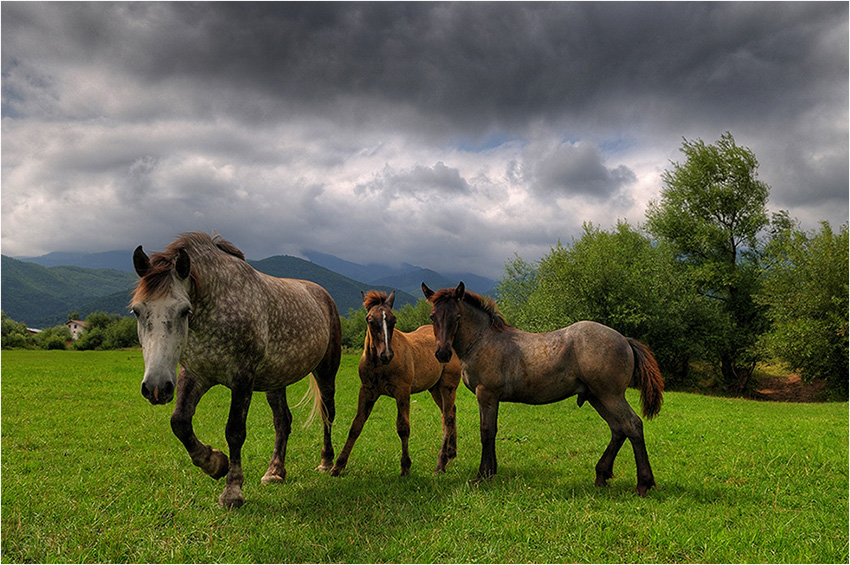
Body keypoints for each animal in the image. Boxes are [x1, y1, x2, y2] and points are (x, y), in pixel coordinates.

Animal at [129, 232, 338, 506]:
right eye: (137, 310)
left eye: (184, 311)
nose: (156, 387)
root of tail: (323, 295)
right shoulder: (195, 374)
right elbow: (180, 422)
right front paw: (215, 463)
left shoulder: (242, 378)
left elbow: (235, 431)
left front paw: (232, 491)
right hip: (276, 381)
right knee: (283, 421)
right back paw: (274, 472)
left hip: (326, 371)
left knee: (327, 414)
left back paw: (327, 462)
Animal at [328, 290, 460, 476]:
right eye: (370, 320)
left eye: (394, 320)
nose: (387, 354)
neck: (379, 365)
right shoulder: (367, 391)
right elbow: (356, 425)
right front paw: (338, 465)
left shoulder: (402, 392)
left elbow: (403, 427)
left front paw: (405, 466)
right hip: (434, 388)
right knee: (449, 413)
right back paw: (450, 454)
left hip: (448, 386)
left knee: (448, 417)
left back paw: (441, 462)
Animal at [420, 280, 664, 494]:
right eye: (433, 316)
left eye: (457, 317)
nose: (442, 353)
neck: (483, 340)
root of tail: (625, 340)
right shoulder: (491, 398)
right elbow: (493, 431)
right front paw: (492, 471)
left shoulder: (486, 394)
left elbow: (486, 432)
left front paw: (483, 475)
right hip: (597, 397)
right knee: (618, 429)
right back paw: (602, 475)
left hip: (611, 396)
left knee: (633, 425)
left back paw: (643, 484)